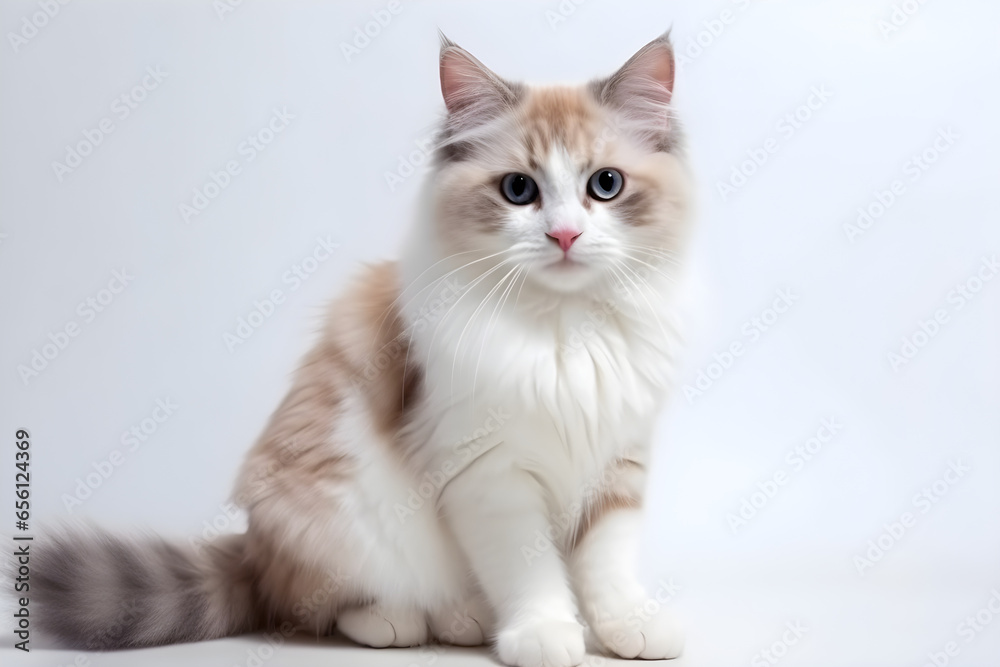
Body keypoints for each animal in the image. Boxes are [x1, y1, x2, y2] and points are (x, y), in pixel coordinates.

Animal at [27, 31, 692, 667]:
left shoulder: (618, 460)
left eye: (605, 185)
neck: (565, 326)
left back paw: (462, 620)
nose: (565, 235)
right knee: (317, 606)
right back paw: (416, 620)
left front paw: (626, 628)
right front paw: (545, 634)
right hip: (340, 515)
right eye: (519, 189)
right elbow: (529, 570)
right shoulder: (489, 473)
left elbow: (606, 566)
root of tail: (253, 552)